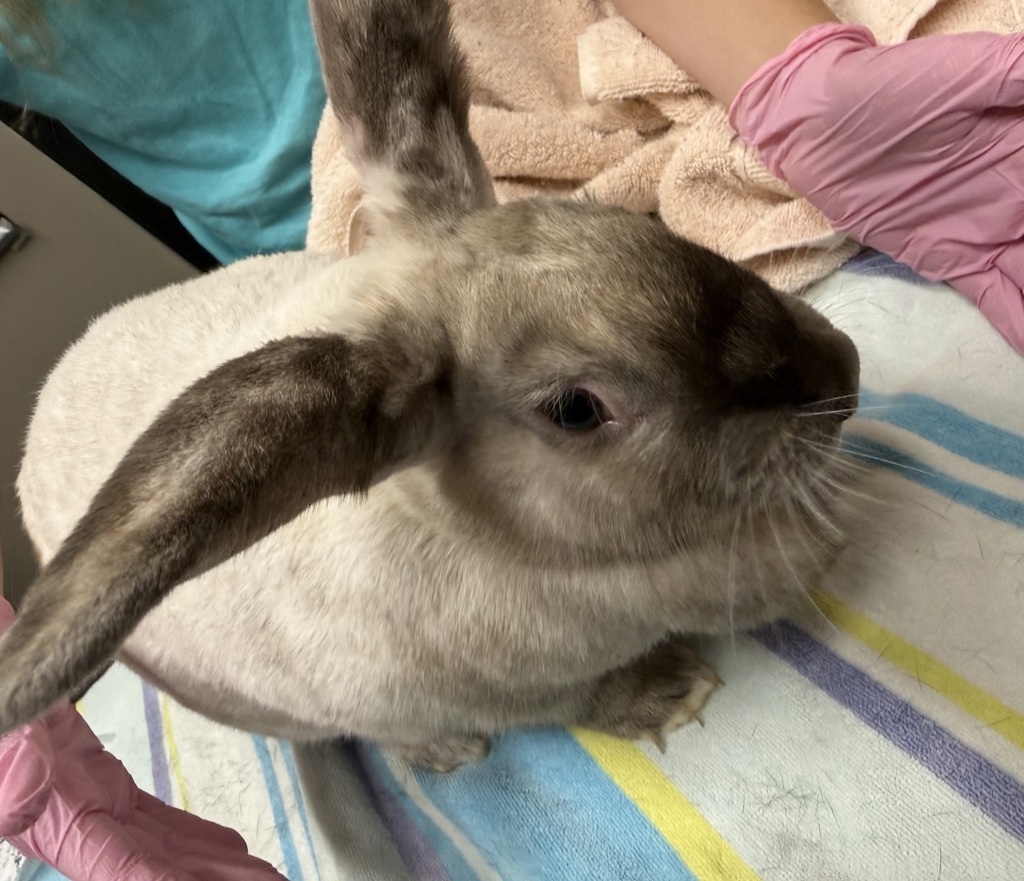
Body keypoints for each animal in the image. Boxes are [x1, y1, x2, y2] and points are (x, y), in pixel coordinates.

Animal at [0, 0, 859, 769]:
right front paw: (673, 692)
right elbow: (583, 699)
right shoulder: (521, 694)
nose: (844, 371)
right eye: (577, 409)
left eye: (639, 227)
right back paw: (446, 753)